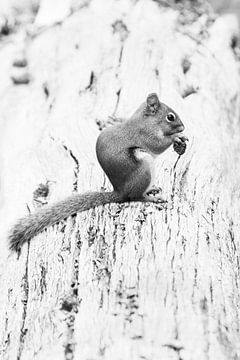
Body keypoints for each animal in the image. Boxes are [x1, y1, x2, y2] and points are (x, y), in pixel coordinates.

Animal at [7, 93, 188, 252]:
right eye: (170, 117)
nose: (183, 126)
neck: (145, 120)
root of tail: (119, 192)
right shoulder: (145, 135)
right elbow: (158, 145)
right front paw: (177, 137)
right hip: (144, 168)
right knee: (135, 197)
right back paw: (151, 198)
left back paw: (152, 189)